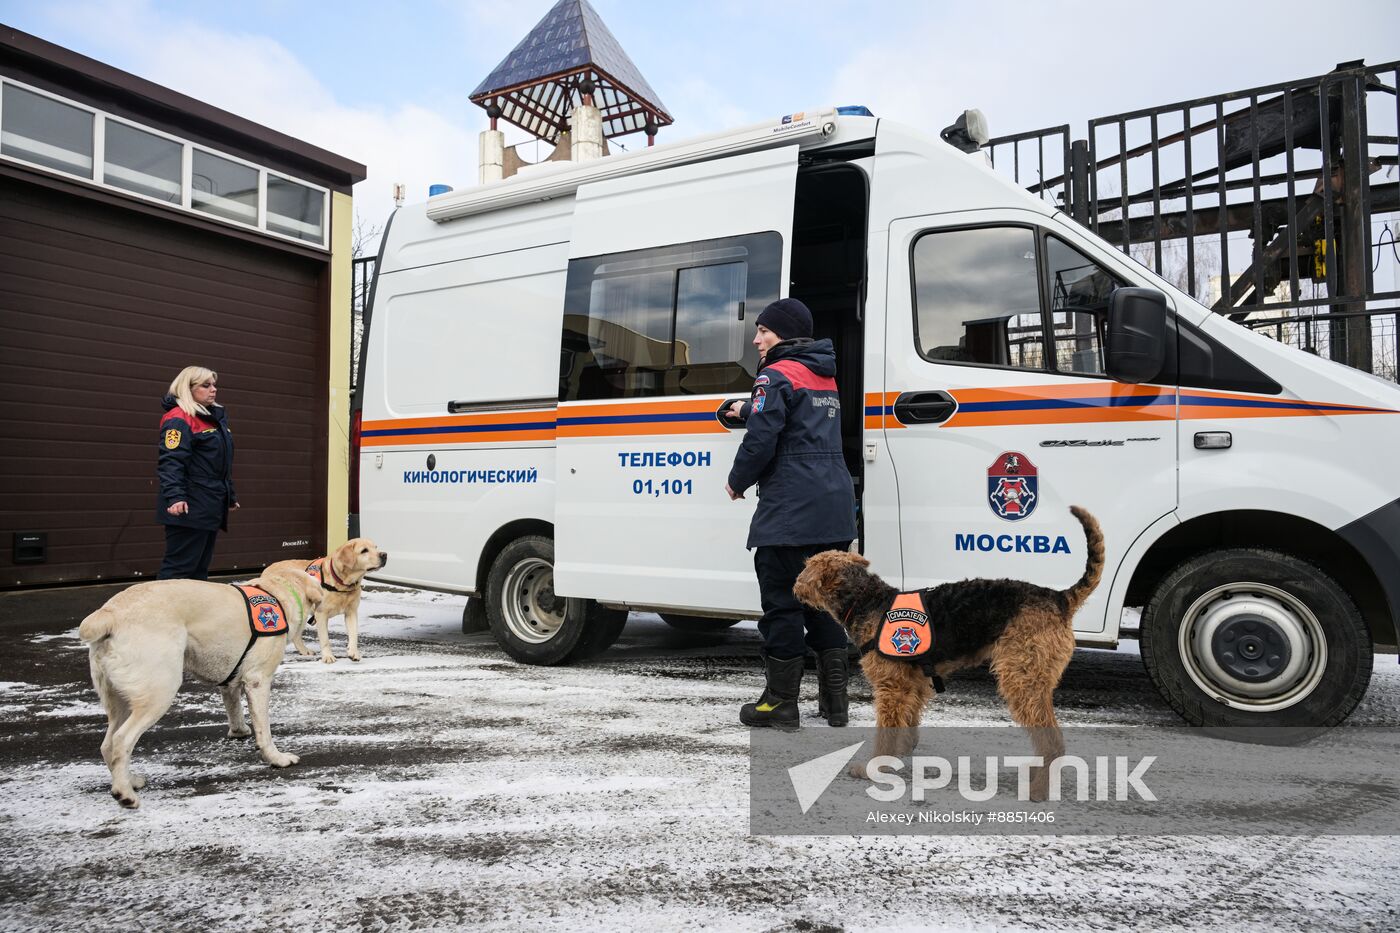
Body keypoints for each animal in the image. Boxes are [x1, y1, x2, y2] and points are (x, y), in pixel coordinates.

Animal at [79, 565, 324, 806]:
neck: (278, 592)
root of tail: (110, 613)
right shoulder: (258, 680)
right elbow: (264, 730)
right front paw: (276, 758)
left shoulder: (231, 682)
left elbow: (234, 707)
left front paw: (239, 731)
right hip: (159, 691)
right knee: (122, 739)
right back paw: (124, 793)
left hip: (120, 699)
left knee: (108, 744)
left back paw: (130, 780)